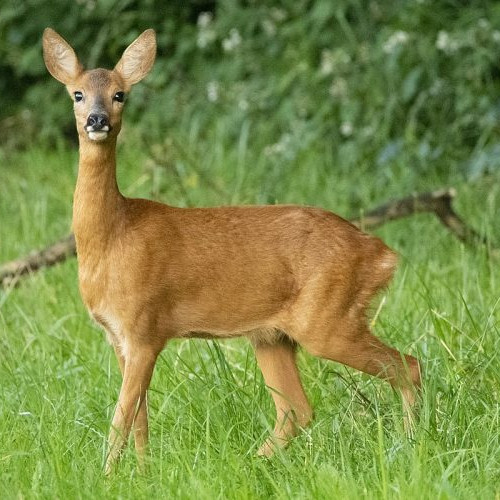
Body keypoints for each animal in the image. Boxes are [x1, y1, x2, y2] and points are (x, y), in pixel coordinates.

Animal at [42, 26, 422, 472]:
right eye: (77, 94)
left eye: (120, 94)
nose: (97, 120)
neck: (112, 237)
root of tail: (381, 254)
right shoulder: (119, 337)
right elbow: (139, 420)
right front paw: (143, 473)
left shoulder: (145, 327)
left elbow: (121, 419)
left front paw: (108, 477)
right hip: (273, 335)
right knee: (296, 409)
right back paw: (251, 464)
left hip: (329, 317)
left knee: (408, 366)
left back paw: (411, 443)